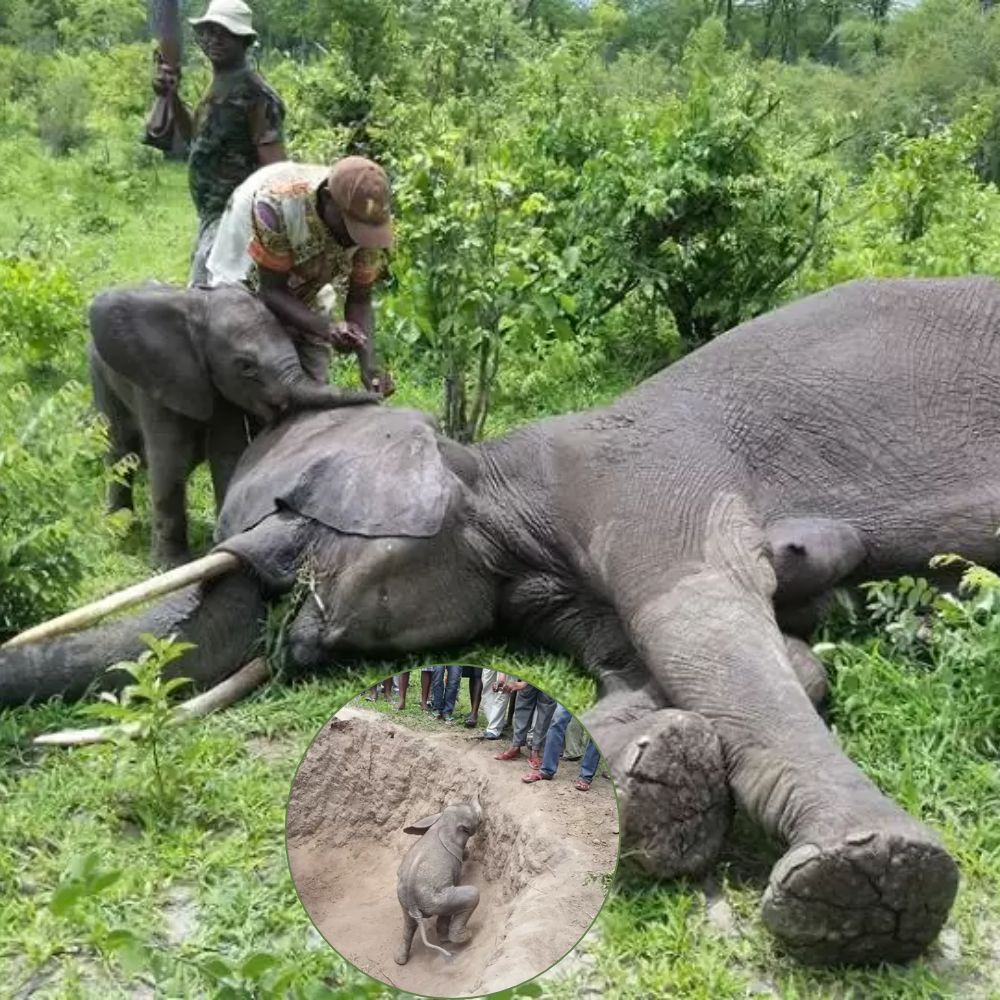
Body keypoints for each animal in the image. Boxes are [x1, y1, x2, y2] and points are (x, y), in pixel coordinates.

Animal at [88, 282, 380, 568]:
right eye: (246, 367)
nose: (377, 392)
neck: (201, 308)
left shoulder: (224, 387)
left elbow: (227, 452)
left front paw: (228, 540)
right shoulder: (161, 377)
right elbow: (169, 460)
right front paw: (170, 566)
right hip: (101, 376)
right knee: (120, 450)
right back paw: (121, 527)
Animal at [395, 799, 483, 965]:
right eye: (479, 819)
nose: (477, 799)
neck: (444, 823)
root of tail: (414, 905)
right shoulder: (455, 868)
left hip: (404, 898)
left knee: (408, 923)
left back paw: (399, 960)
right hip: (434, 897)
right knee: (470, 895)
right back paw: (463, 938)